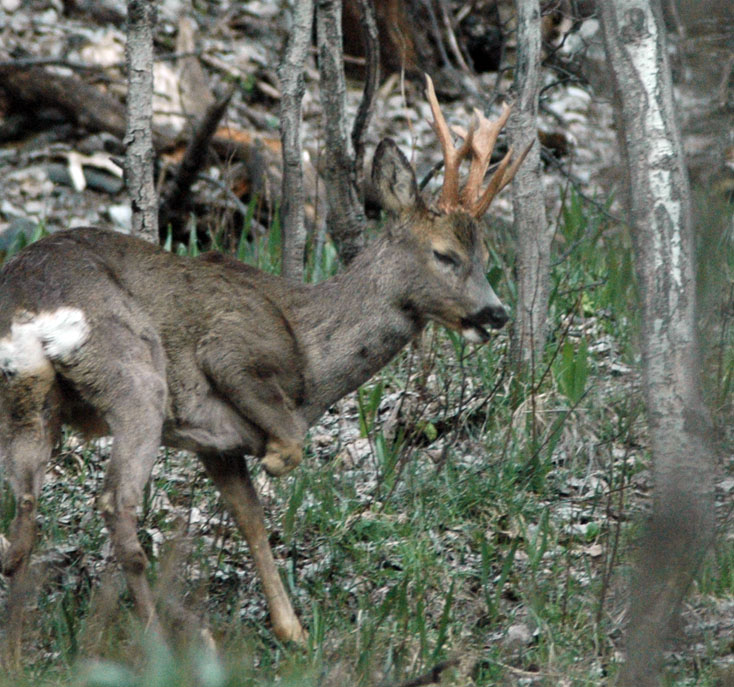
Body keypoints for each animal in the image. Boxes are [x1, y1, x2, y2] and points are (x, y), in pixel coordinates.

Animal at [0, 75, 528, 656]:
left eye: (484, 258)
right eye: (445, 255)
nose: (497, 313)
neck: (311, 352)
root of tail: (29, 301)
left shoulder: (217, 446)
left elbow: (252, 521)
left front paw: (292, 629)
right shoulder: (230, 350)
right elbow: (290, 440)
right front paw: (276, 459)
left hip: (28, 401)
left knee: (24, 520)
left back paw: (19, 646)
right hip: (137, 379)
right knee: (116, 504)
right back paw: (160, 637)